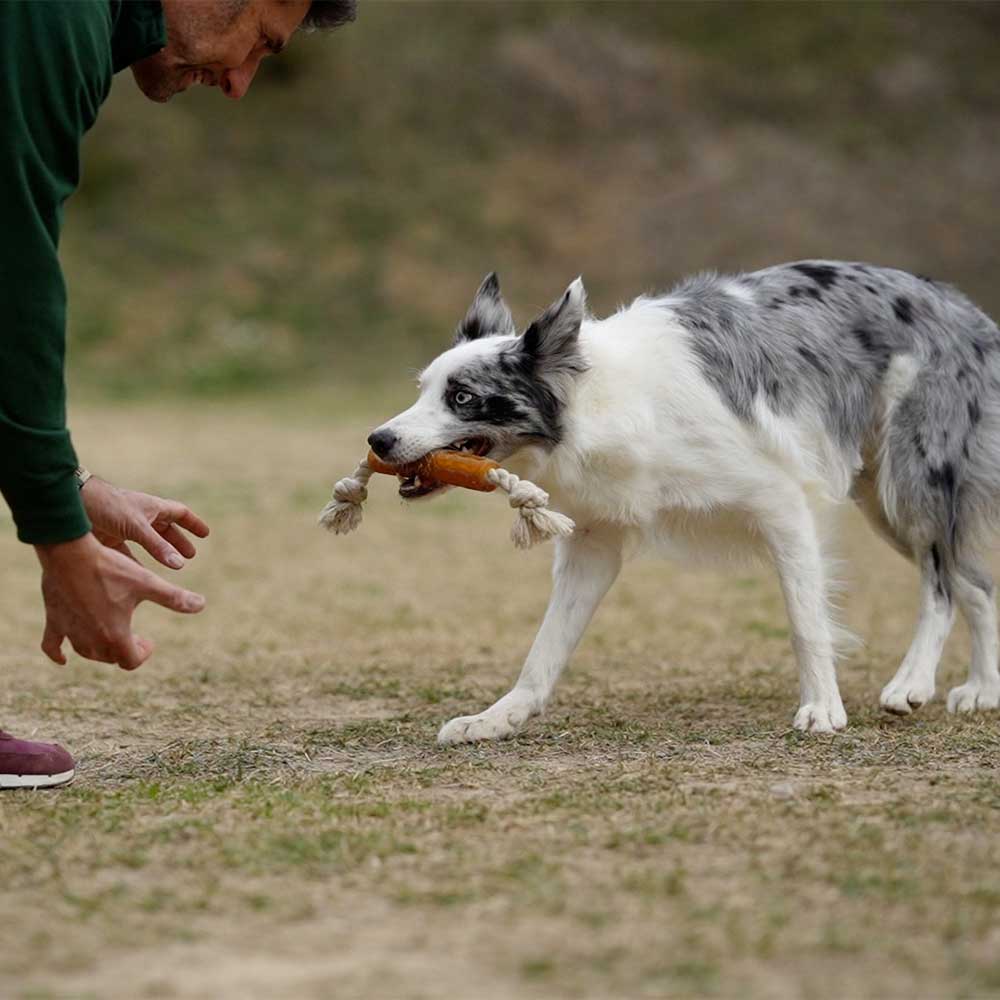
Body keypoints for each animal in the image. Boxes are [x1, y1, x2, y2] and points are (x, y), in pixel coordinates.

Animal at [366, 262, 1000, 748]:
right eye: (423, 390)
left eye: (462, 397)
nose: (378, 440)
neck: (603, 403)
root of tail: (961, 306)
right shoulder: (594, 543)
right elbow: (545, 648)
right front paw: (500, 717)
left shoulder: (782, 503)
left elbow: (806, 622)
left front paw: (822, 707)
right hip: (885, 501)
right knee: (974, 581)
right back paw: (982, 690)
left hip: (909, 481)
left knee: (942, 584)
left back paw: (913, 681)